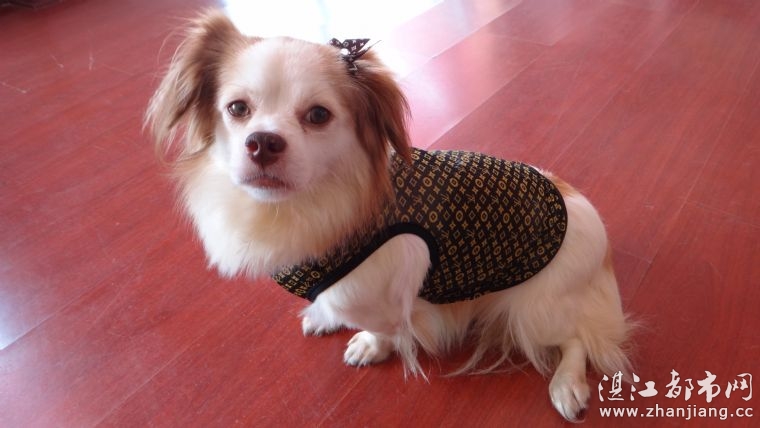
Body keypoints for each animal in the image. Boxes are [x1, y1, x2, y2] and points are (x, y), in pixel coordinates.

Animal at [146, 10, 632, 422]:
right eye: (237, 109)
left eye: (318, 115)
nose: (262, 141)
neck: (309, 204)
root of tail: (586, 214)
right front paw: (324, 317)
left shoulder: (383, 296)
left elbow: (382, 327)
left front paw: (369, 345)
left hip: (533, 309)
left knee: (576, 337)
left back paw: (568, 386)